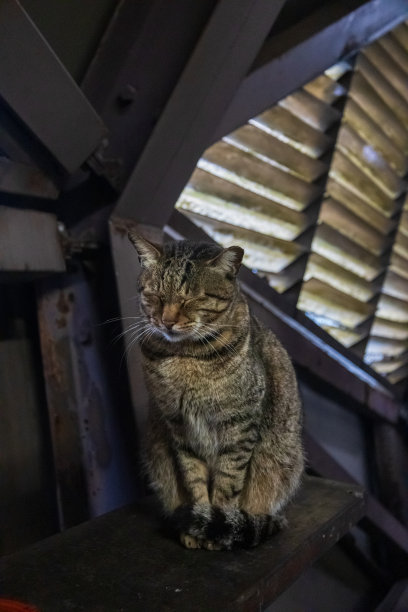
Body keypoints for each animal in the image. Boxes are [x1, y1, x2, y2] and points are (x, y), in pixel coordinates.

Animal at [128, 233, 302, 548]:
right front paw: (197, 525)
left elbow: (228, 482)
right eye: (156, 295)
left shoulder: (239, 426)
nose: (167, 321)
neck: (185, 357)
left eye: (192, 298)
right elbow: (193, 478)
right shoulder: (178, 426)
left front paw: (218, 526)